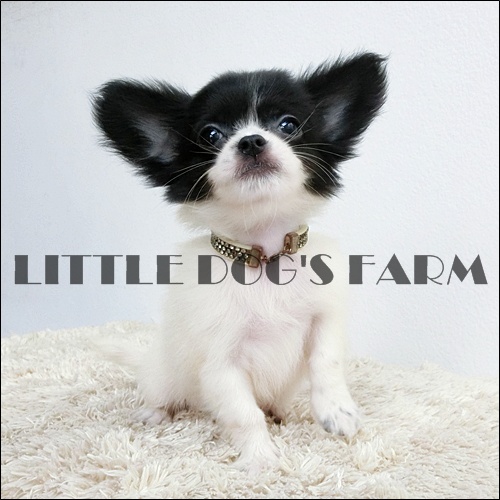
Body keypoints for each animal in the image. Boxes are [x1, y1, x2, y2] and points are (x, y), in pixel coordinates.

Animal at [92, 53, 387, 473]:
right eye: (211, 134)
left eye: (288, 124)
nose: (250, 141)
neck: (264, 258)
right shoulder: (221, 363)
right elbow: (243, 414)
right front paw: (261, 459)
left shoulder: (325, 318)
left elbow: (326, 363)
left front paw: (337, 411)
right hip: (165, 375)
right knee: (165, 393)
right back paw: (157, 412)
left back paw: (279, 413)